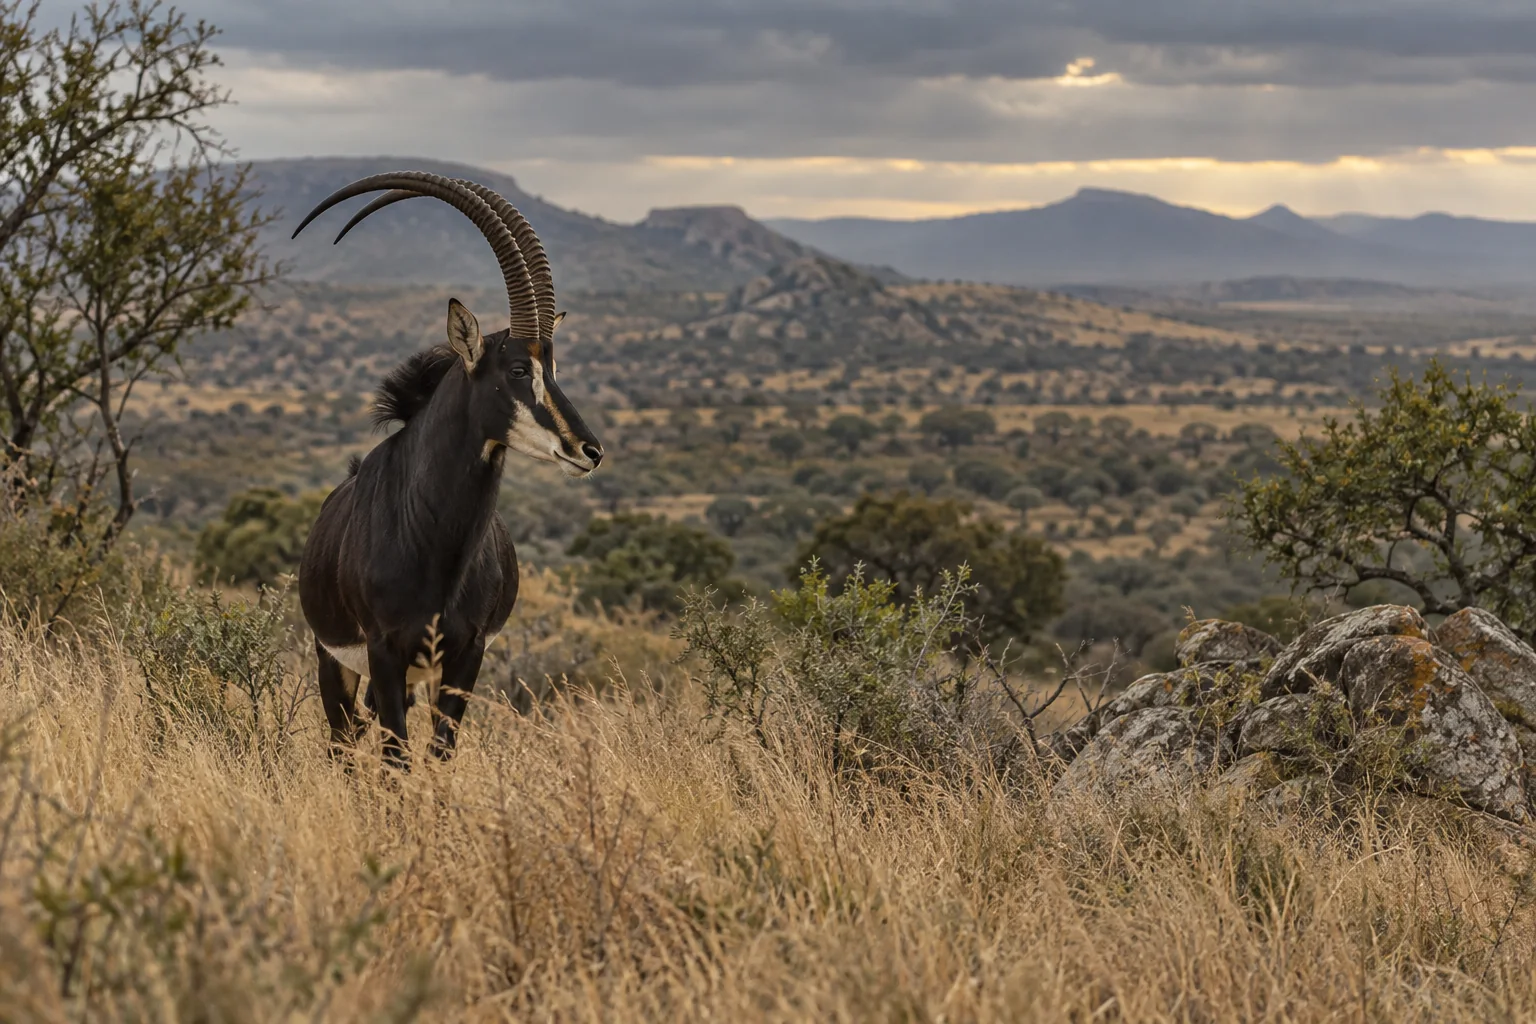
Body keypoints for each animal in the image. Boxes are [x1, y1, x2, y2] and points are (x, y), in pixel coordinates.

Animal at [292, 171, 603, 767]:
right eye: (516, 369)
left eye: (553, 368)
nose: (589, 450)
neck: (431, 540)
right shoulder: (384, 653)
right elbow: (395, 760)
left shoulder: (465, 654)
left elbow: (439, 753)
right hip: (334, 662)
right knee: (345, 746)